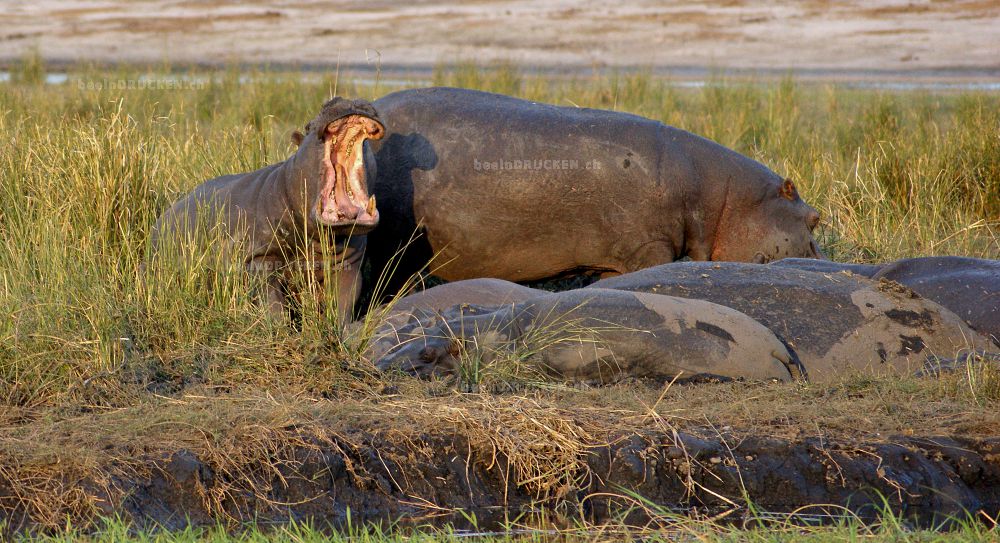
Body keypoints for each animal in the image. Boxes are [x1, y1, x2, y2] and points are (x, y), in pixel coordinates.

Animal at [147, 98, 382, 320]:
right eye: (308, 126)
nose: (345, 99)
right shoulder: (260, 258)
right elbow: (272, 304)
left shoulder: (349, 264)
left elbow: (343, 302)